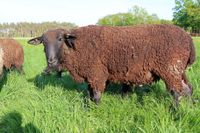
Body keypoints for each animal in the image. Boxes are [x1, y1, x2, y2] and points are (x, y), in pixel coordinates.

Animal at [28, 24, 195, 104]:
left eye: (60, 39)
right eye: (43, 42)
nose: (50, 60)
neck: (75, 47)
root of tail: (188, 38)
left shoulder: (97, 73)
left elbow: (96, 96)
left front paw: (95, 111)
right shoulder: (91, 76)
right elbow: (90, 94)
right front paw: (89, 109)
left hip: (170, 70)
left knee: (177, 93)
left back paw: (176, 112)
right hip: (178, 70)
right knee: (188, 89)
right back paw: (190, 108)